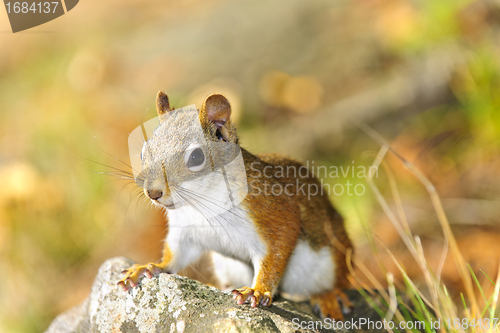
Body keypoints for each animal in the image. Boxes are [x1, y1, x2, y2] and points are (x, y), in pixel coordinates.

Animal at [118, 91, 354, 320]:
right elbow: (175, 256)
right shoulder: (185, 232)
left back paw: (328, 296)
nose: (153, 192)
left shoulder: (272, 211)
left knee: (338, 281)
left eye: (196, 157)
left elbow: (277, 250)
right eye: (144, 152)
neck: (200, 202)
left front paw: (257, 290)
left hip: (332, 257)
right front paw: (151, 266)